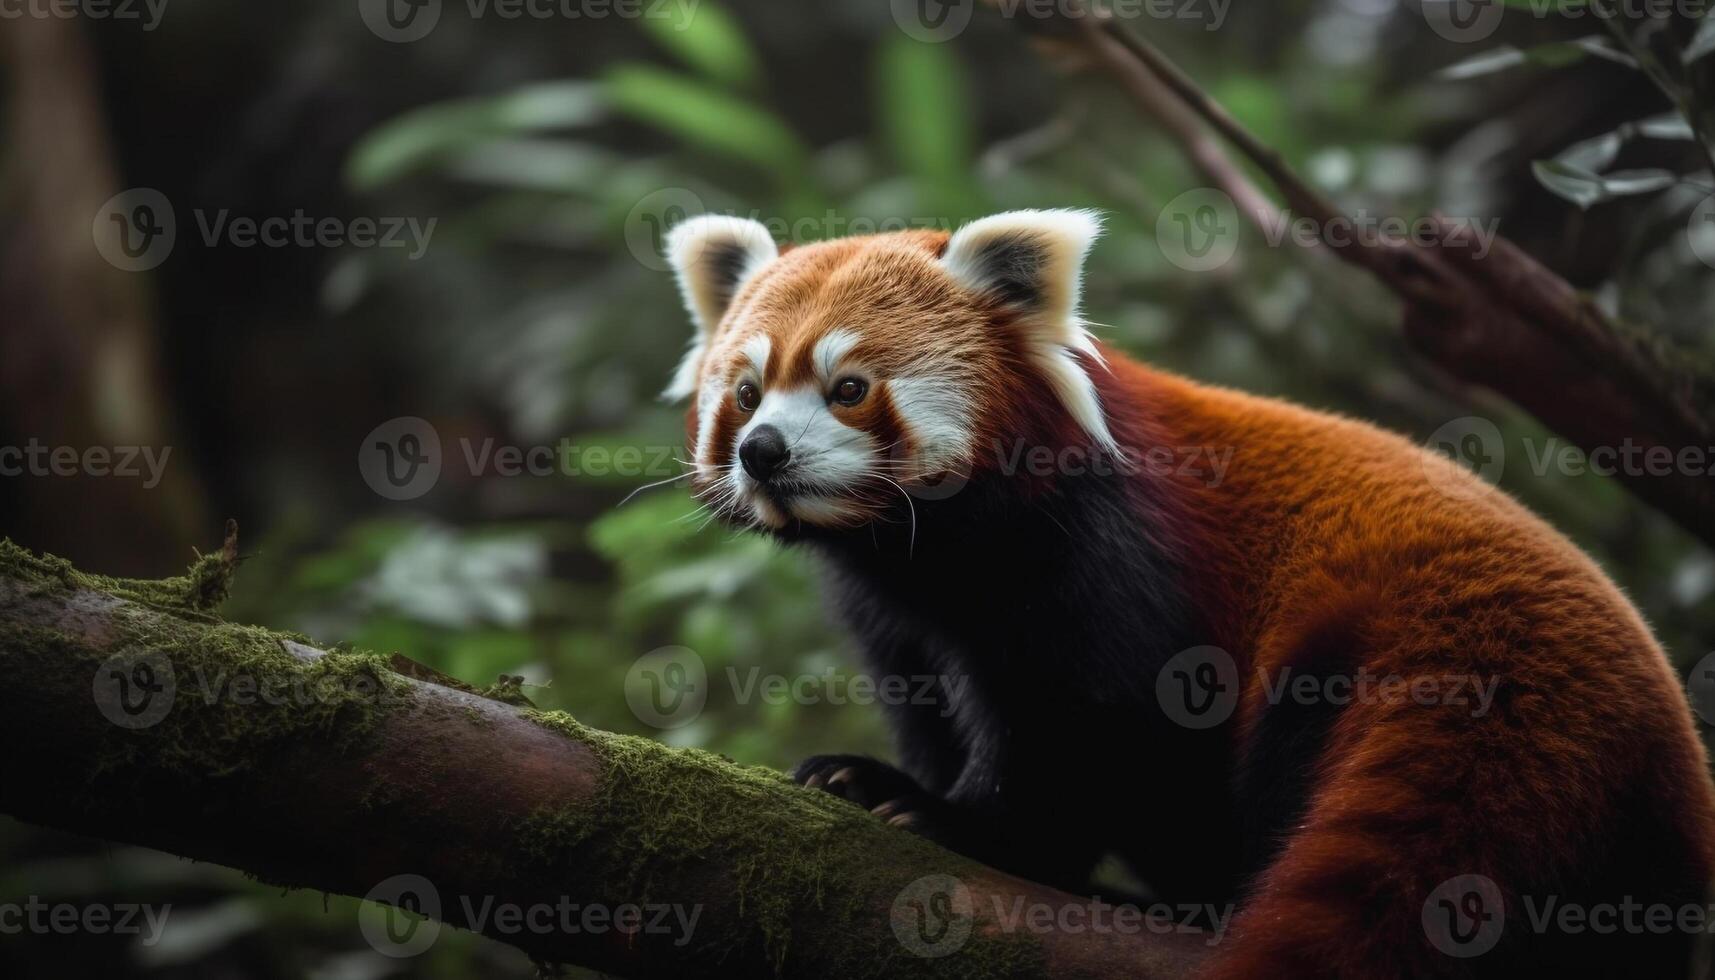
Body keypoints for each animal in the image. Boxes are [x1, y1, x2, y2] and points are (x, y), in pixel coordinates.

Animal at [658, 211, 1715, 974]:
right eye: (746, 393)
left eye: (848, 388)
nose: (763, 452)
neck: (927, 550)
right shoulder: (896, 614)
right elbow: (935, 701)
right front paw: (890, 777)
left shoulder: (1109, 560)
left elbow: (1090, 731)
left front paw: (959, 821)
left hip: (1356, 650)